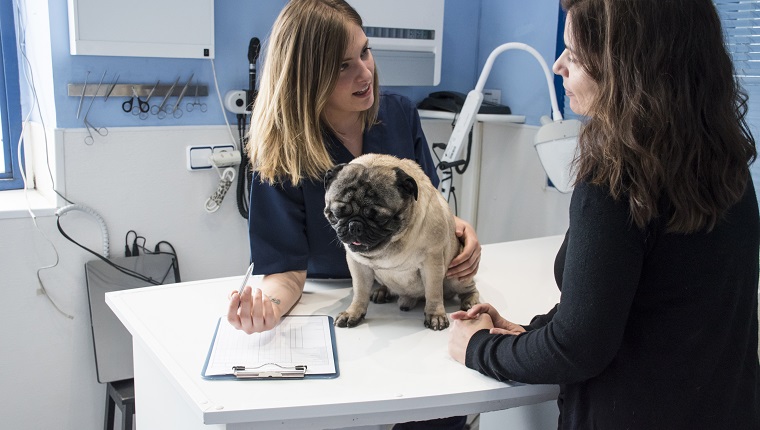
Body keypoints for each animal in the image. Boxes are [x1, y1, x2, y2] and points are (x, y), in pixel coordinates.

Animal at [322, 153, 478, 330]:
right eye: (337, 214)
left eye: (380, 218)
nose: (355, 225)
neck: (392, 244)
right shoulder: (358, 266)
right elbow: (360, 292)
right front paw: (353, 312)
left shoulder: (432, 263)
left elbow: (433, 292)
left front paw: (435, 315)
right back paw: (383, 291)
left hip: (456, 277)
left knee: (468, 289)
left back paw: (470, 301)